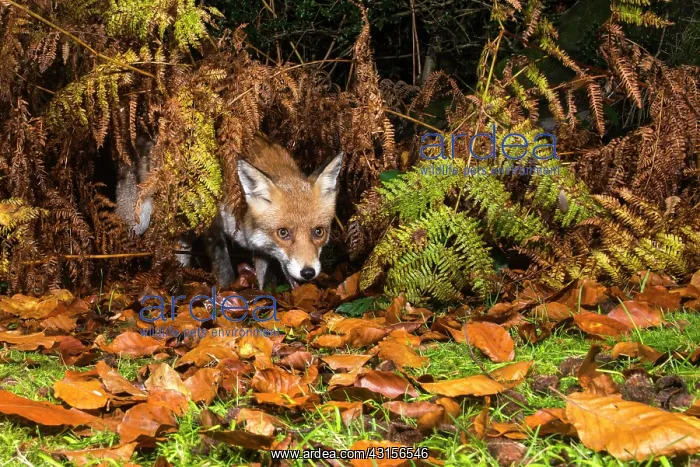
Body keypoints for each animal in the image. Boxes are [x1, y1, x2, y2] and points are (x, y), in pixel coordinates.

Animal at [115, 133, 344, 289]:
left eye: (319, 232)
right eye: (283, 233)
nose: (308, 272)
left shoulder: (261, 247)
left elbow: (265, 277)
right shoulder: (212, 223)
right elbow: (224, 269)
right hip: (138, 223)